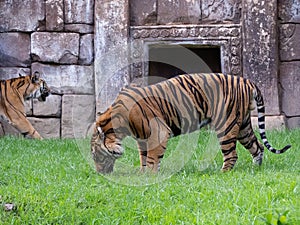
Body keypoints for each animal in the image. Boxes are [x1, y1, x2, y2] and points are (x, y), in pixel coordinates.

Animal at [91, 73, 290, 173]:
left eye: (95, 155)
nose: (99, 173)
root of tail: (247, 81)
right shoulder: (142, 137)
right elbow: (143, 156)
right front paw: (142, 173)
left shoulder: (158, 132)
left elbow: (152, 157)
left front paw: (149, 175)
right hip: (243, 125)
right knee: (257, 146)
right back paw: (256, 168)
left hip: (226, 125)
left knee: (232, 154)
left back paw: (222, 173)